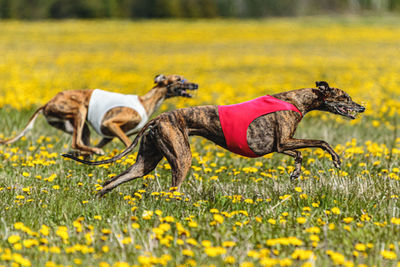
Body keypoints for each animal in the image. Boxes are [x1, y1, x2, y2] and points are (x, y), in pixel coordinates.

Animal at [0, 74, 199, 156]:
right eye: (179, 79)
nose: (195, 85)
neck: (146, 102)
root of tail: (47, 103)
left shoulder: (107, 135)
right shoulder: (111, 124)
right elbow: (127, 143)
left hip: (77, 125)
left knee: (81, 143)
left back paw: (88, 153)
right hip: (79, 111)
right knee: (76, 142)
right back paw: (93, 151)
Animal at [63, 80, 366, 196]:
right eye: (345, 97)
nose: (362, 107)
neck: (296, 100)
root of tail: (158, 118)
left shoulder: (281, 145)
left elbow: (302, 152)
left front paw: (295, 173)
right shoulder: (282, 143)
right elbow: (318, 144)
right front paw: (334, 160)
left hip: (145, 162)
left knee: (112, 180)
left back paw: (98, 198)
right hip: (181, 157)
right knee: (172, 188)